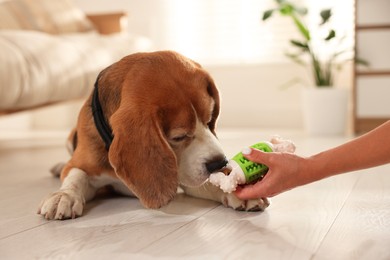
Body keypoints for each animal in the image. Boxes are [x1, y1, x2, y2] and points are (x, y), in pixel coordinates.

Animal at [37, 50, 268, 219]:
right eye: (178, 137)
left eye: (210, 119)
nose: (220, 163)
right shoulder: (82, 164)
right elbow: (76, 176)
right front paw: (63, 196)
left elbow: (210, 182)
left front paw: (237, 192)